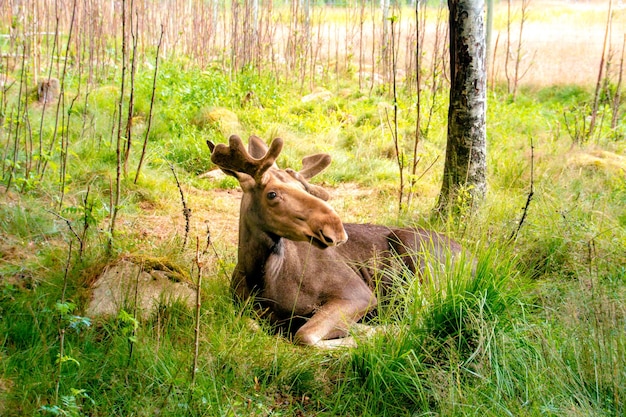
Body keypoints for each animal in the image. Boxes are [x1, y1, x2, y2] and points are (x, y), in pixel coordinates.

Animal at [207, 135, 460, 346]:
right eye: (272, 194)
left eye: (303, 188)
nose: (336, 229)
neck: (259, 276)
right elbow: (250, 325)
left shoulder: (358, 294)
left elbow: (305, 335)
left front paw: (370, 333)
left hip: (417, 255)